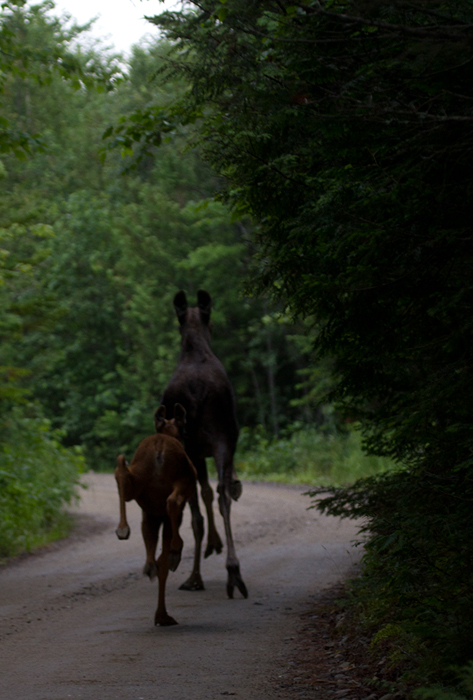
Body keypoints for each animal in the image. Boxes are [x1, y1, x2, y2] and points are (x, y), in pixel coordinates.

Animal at [115, 403, 197, 626]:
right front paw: (162, 615)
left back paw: (123, 530)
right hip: (186, 477)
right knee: (173, 501)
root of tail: (160, 445)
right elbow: (164, 564)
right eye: (184, 429)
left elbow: (152, 546)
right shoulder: (167, 518)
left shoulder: (150, 514)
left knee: (121, 471)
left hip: (138, 476)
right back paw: (177, 549)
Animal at [161, 289, 248, 599]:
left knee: (198, 507)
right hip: (223, 438)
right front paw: (216, 543)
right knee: (221, 495)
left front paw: (211, 545)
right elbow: (213, 492)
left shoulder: (196, 452)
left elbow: (204, 498)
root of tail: (195, 392)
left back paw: (197, 574)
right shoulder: (220, 444)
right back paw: (232, 571)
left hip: (193, 447)